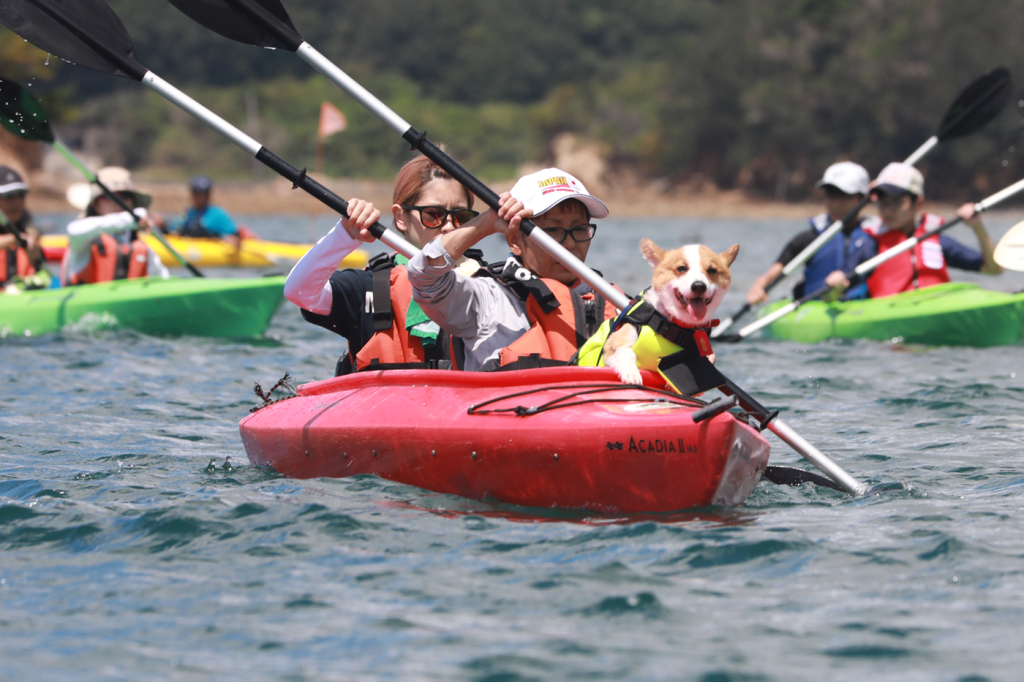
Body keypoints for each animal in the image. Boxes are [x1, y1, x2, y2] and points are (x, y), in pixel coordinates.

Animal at [602, 238, 741, 382]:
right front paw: (632, 374)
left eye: (712, 270)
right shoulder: (617, 340)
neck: (670, 323)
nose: (698, 286)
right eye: (681, 268)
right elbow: (626, 352)